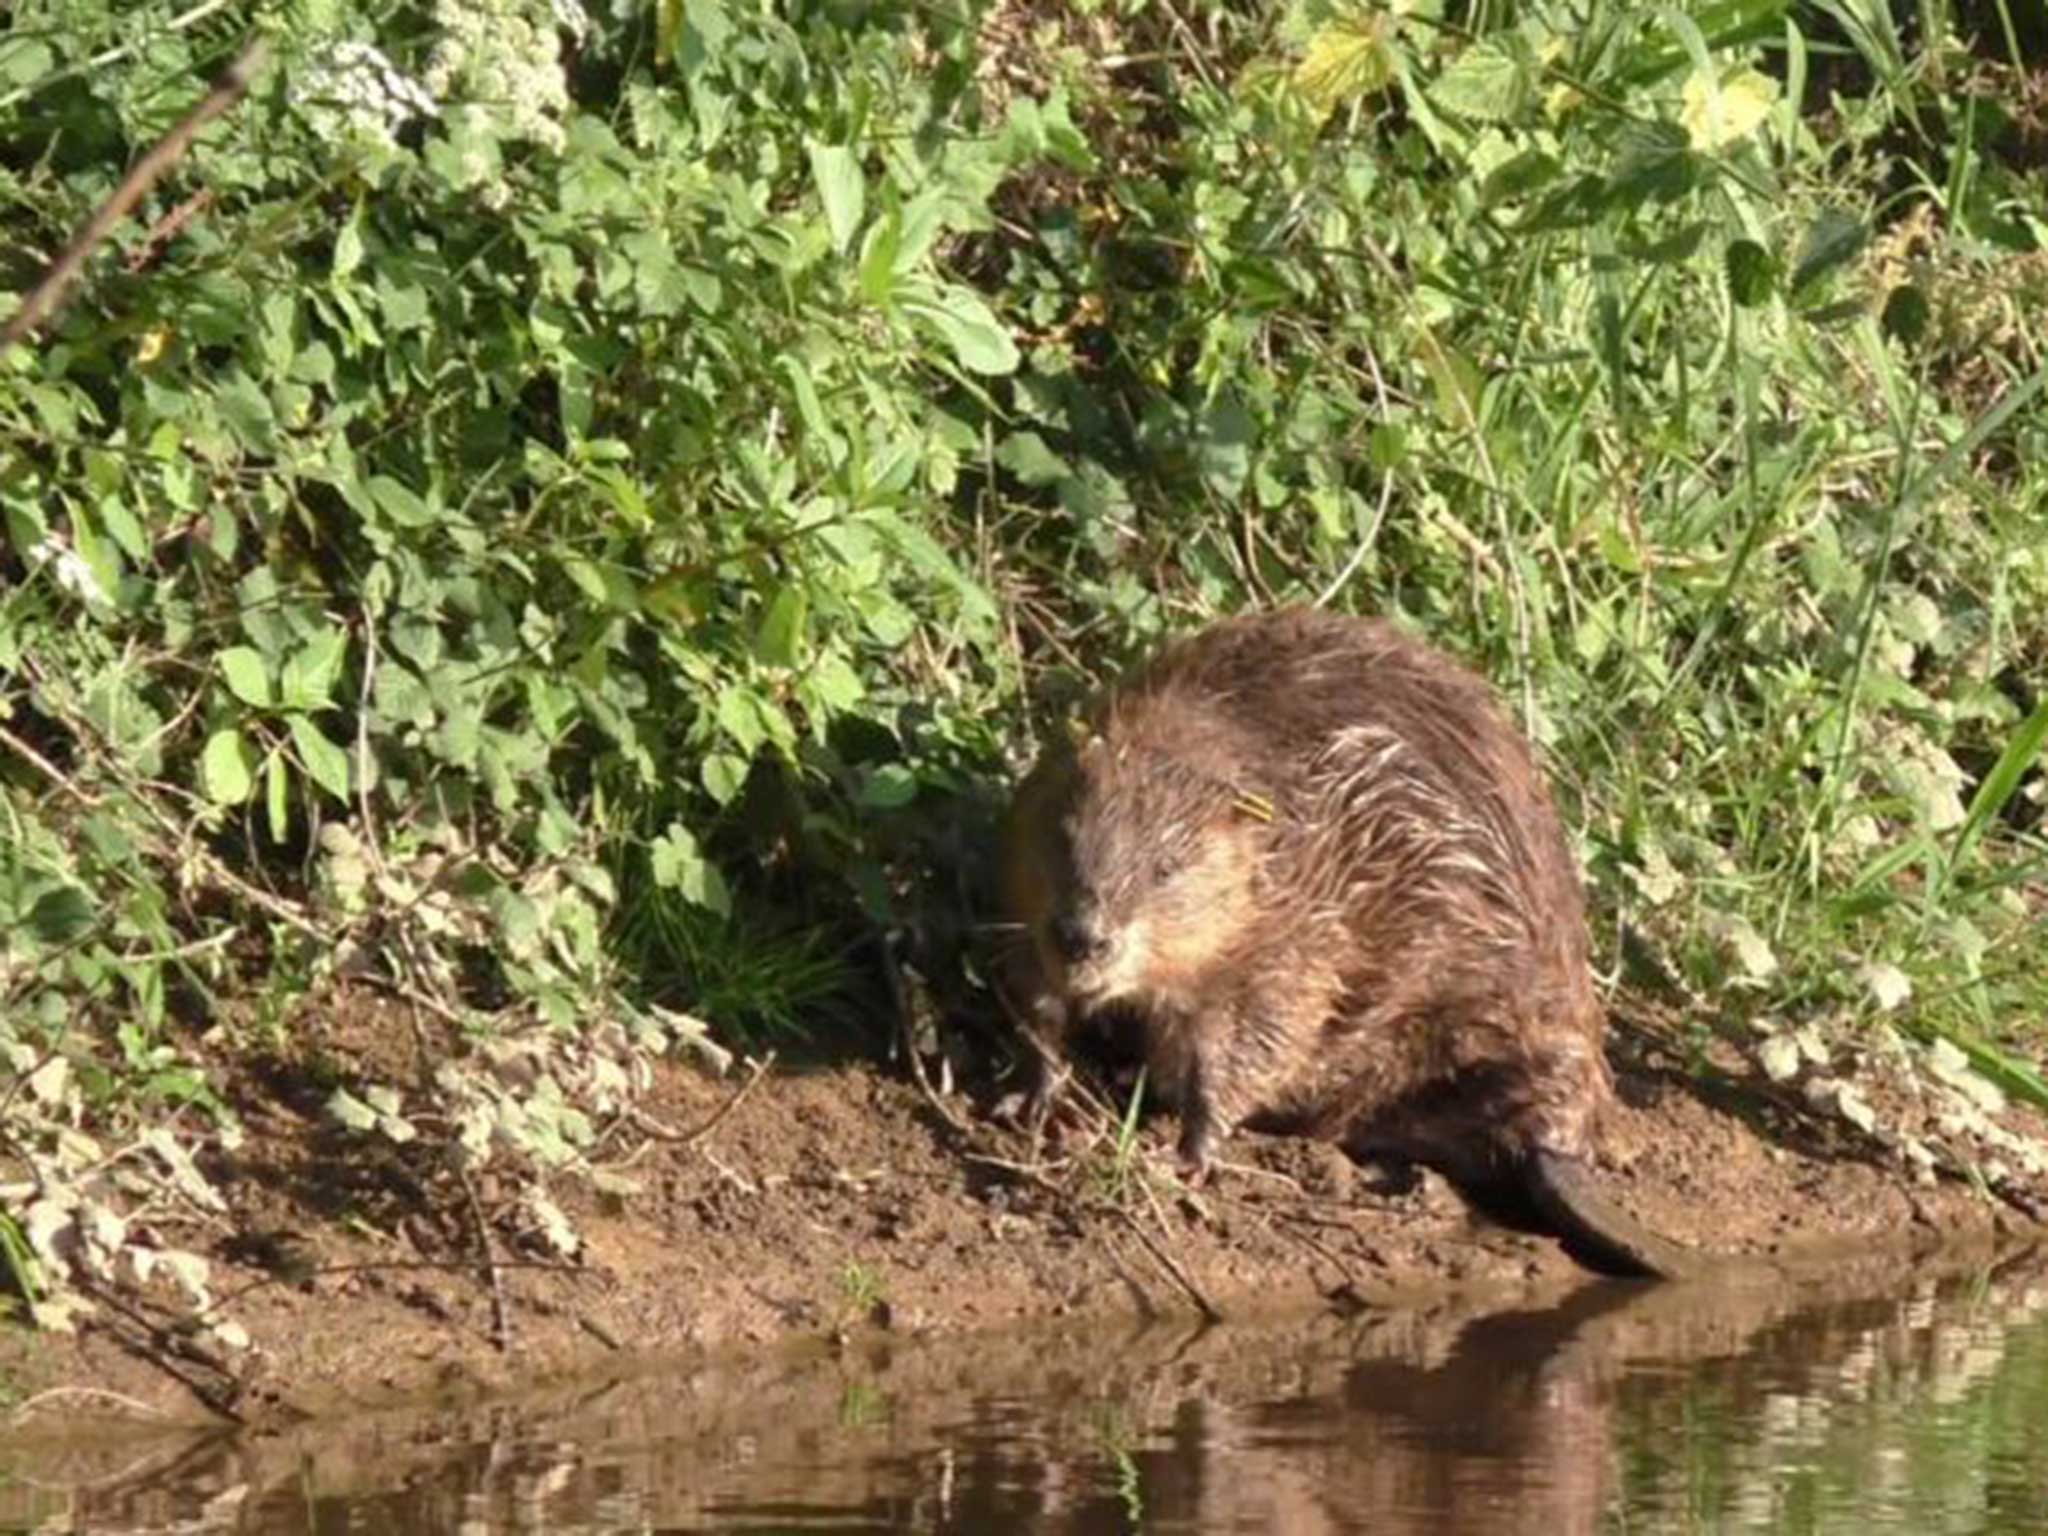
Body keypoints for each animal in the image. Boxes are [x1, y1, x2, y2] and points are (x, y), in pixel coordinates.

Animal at [1003, 606, 1695, 1277]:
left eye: (1165, 869)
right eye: (1065, 836)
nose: (1083, 938)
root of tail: (1561, 1138)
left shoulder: (1297, 937)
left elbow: (1254, 1042)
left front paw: (1187, 1153)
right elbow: (1036, 995)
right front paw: (1039, 1093)